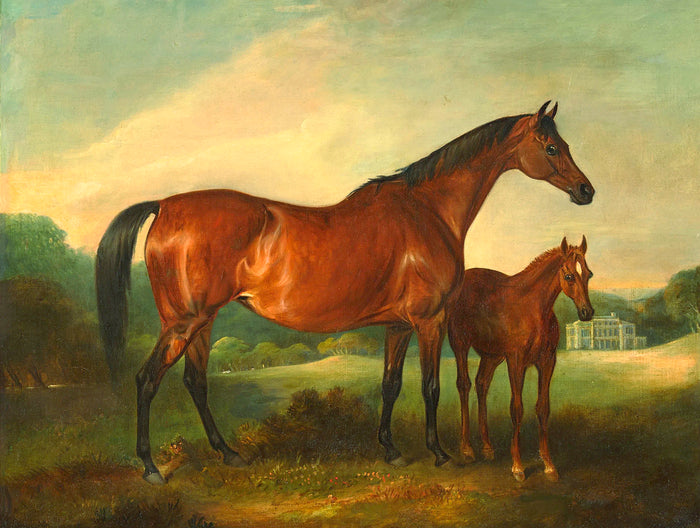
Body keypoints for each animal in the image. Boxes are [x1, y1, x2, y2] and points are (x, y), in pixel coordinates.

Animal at [447, 236, 594, 482]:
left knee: (482, 384)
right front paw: (517, 466)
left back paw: (487, 447)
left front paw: (549, 465)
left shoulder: (547, 361)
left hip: (492, 356)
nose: (587, 313)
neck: (533, 308)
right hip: (461, 345)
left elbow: (543, 408)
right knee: (464, 385)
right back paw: (467, 448)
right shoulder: (516, 361)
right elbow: (517, 409)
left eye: (589, 274)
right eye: (569, 276)